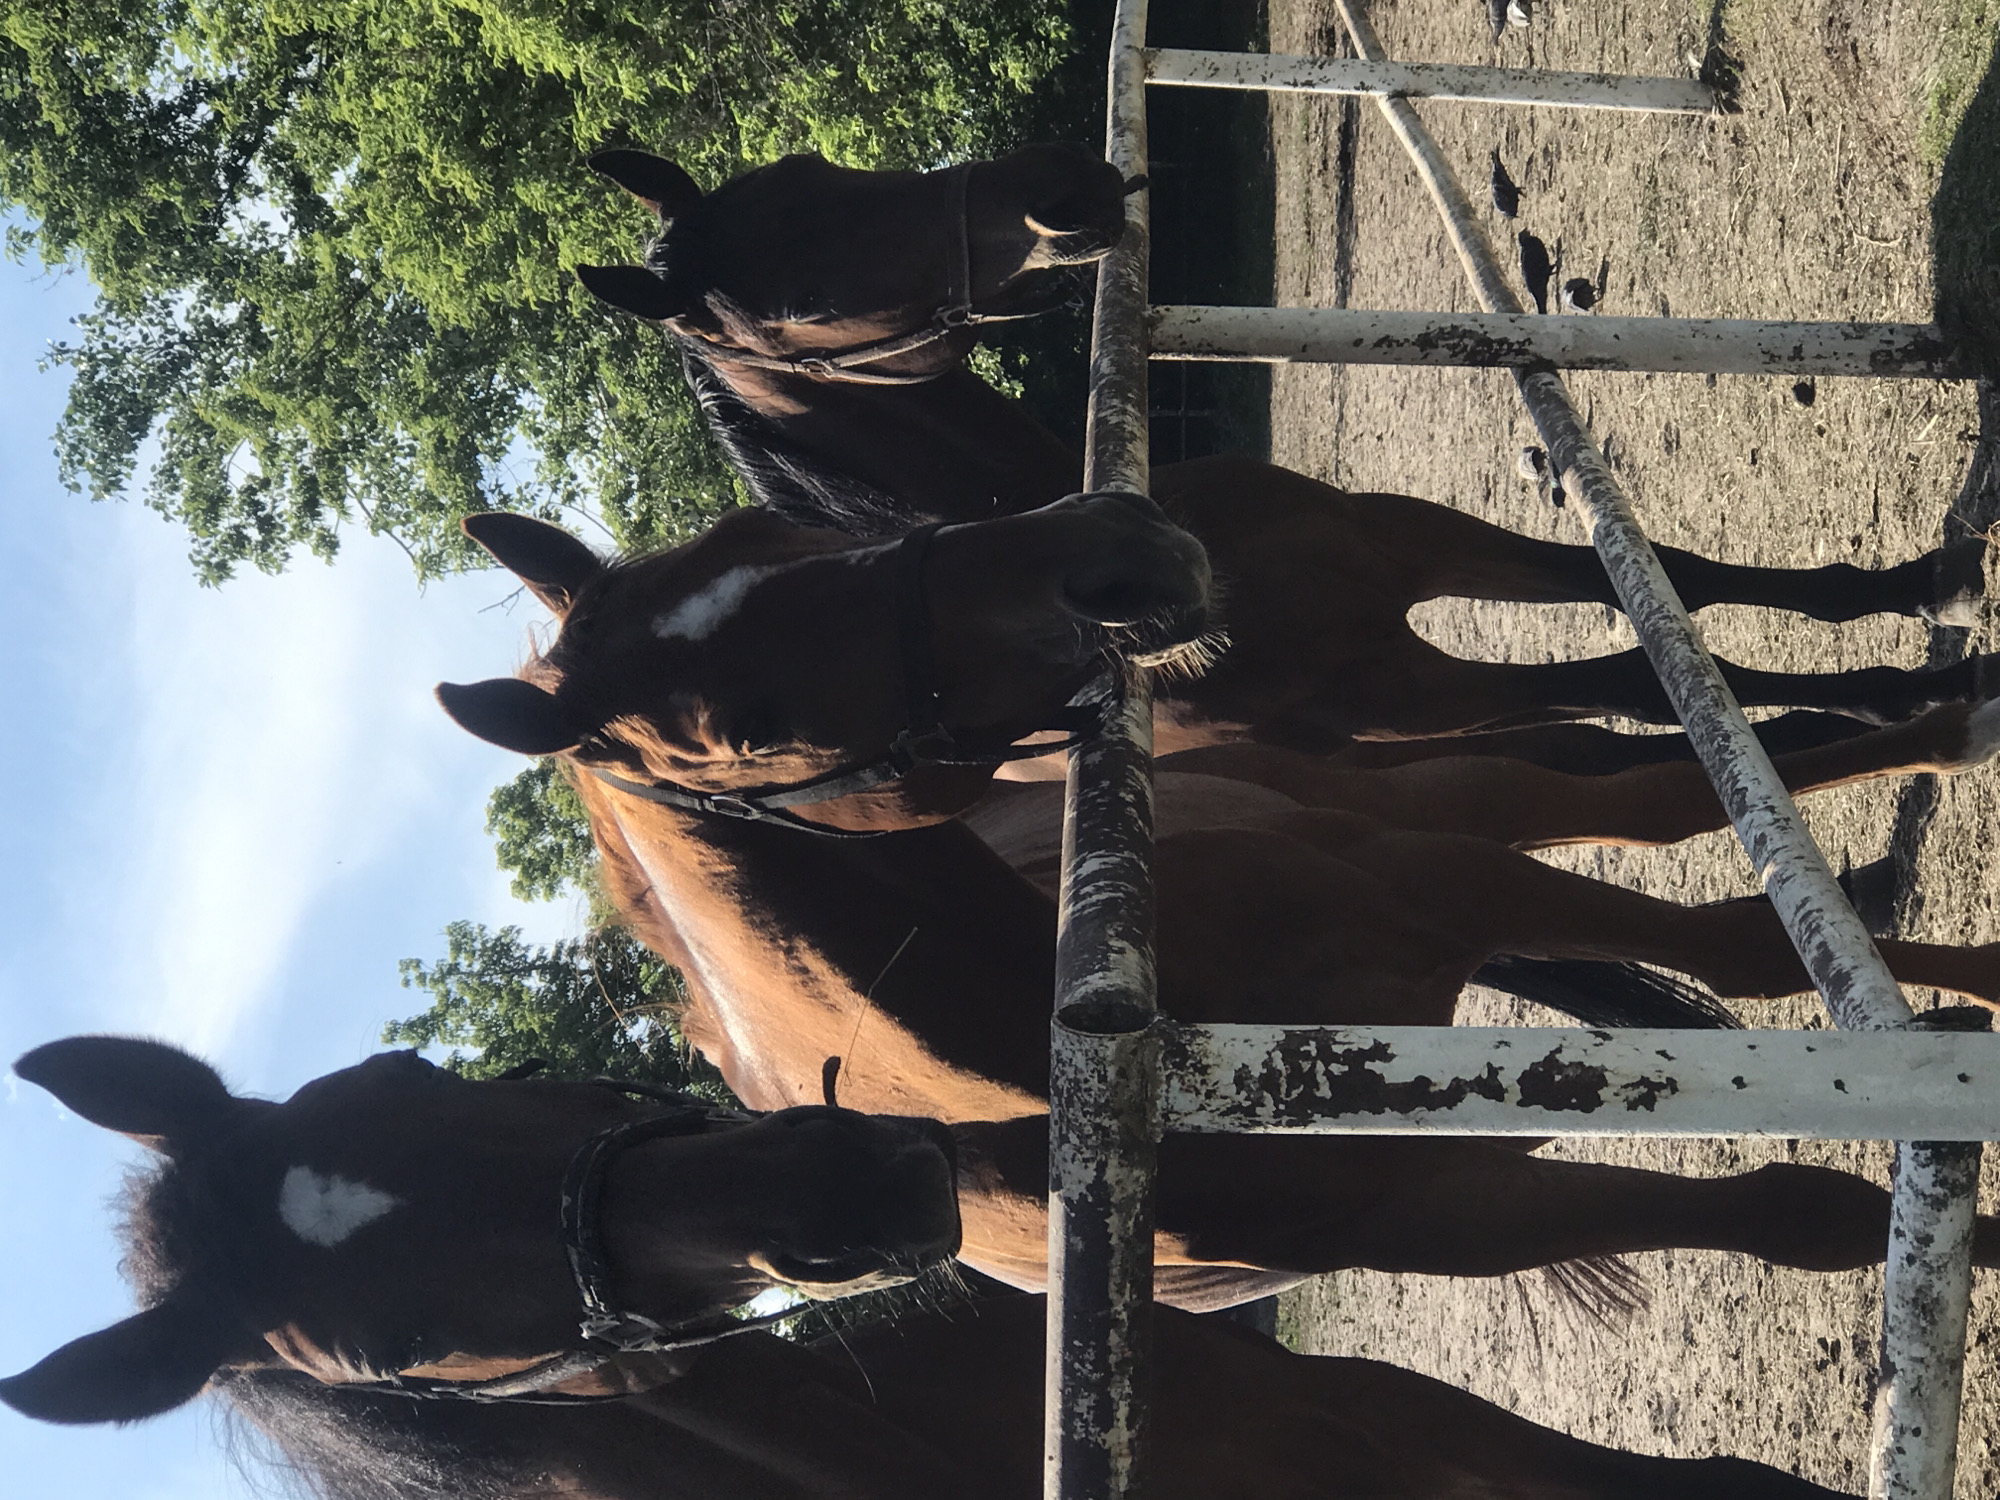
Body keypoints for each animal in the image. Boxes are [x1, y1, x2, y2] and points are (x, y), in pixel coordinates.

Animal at [436, 499, 2000, 1307]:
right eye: (744, 725)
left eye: (773, 522)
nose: (1116, 551)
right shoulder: (1454, 1210)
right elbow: (1798, 1210)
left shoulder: (1451, 880)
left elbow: (1715, 917)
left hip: (1450, 806)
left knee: (1649, 800)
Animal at [574, 145, 1992, 761]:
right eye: (796, 299)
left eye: (819, 163)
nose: (1059, 190)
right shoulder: (1407, 692)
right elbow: (1643, 677)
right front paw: (1908, 699)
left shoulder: (1399, 539)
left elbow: (1667, 581)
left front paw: (1920, 590)